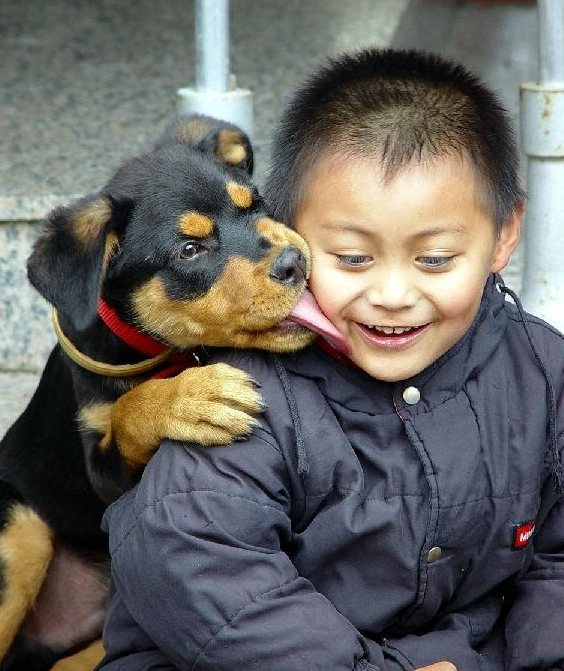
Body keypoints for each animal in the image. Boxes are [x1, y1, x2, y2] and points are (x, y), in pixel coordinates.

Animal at [0, 114, 345, 671]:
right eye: (189, 250)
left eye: (256, 204)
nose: (295, 261)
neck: (171, 355)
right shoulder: (104, 477)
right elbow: (126, 411)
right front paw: (197, 400)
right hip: (21, 534)